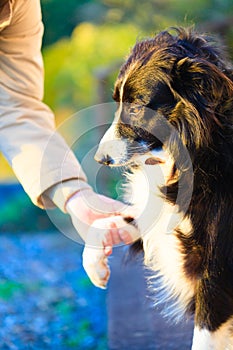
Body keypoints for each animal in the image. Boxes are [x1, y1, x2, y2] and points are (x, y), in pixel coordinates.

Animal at [83, 28, 233, 350]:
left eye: (137, 106)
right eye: (116, 102)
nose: (101, 159)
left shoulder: (218, 266)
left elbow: (204, 333)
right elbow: (111, 221)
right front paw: (96, 268)